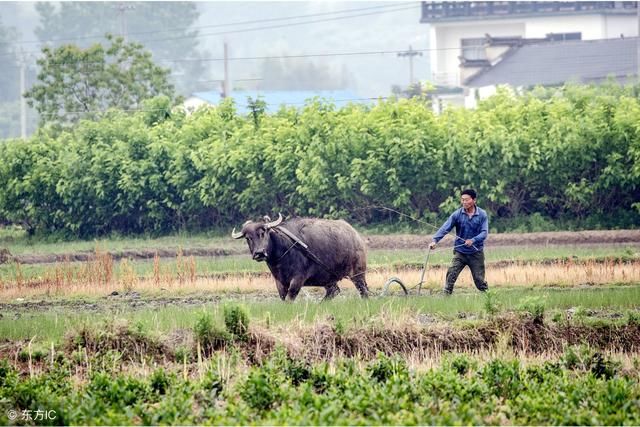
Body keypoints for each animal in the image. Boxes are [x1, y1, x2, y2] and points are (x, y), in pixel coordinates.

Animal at [231, 214, 370, 300]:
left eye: (263, 232)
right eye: (248, 238)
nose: (259, 253)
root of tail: (356, 236)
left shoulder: (298, 278)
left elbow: (290, 297)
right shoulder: (279, 281)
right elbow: (283, 297)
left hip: (358, 273)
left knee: (364, 291)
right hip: (328, 277)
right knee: (333, 291)